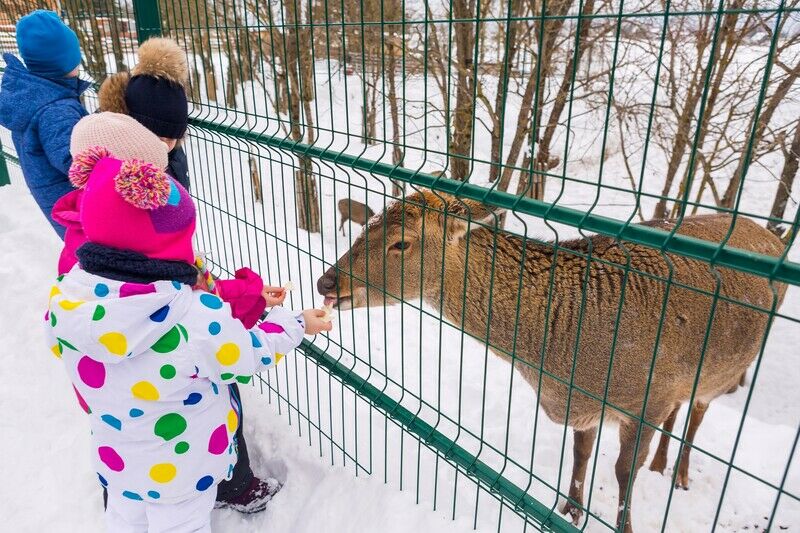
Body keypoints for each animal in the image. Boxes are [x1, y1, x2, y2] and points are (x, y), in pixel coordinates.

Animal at [318, 189, 788, 528]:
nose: (327, 282)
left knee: (698, 413)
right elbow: (580, 454)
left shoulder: (647, 398)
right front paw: (570, 509)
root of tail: (776, 236)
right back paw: (661, 465)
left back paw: (680, 474)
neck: (564, 366)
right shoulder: (590, 403)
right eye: (367, 224)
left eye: (401, 243)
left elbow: (623, 472)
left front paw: (621, 521)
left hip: (727, 369)